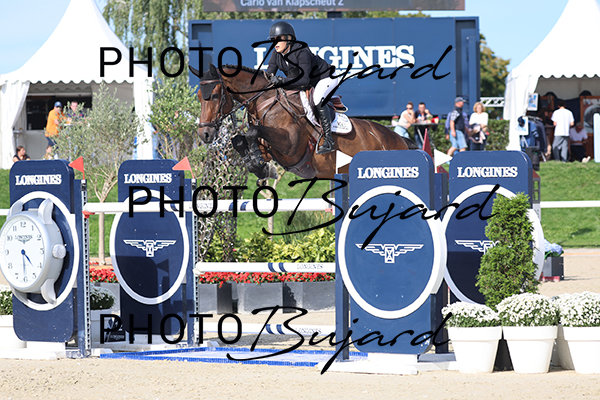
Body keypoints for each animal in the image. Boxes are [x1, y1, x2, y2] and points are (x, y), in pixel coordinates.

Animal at [190, 63, 418, 181]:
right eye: (199, 96)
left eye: (216, 95)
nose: (204, 134)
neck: (264, 101)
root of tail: (399, 140)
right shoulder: (271, 149)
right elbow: (241, 140)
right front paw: (260, 167)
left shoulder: (291, 146)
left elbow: (252, 132)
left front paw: (259, 166)